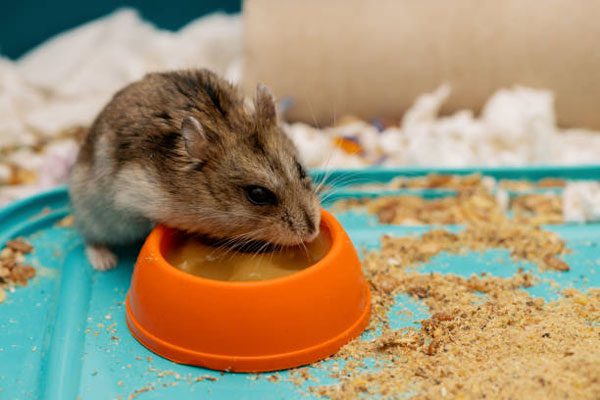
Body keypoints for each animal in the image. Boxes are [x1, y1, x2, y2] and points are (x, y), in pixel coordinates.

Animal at [69, 70, 322, 274]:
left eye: (301, 169)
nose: (313, 232)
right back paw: (104, 262)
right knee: (89, 238)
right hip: (91, 212)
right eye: (258, 195)